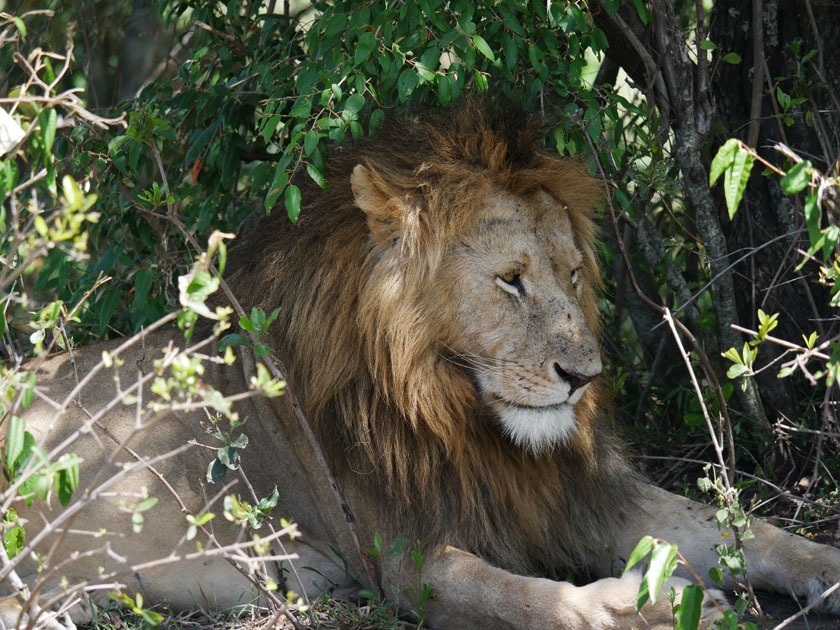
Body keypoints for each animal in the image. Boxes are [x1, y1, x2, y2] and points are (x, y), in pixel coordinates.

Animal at [1, 101, 840, 628]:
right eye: (511, 279)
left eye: (573, 275)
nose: (585, 379)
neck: (460, 416)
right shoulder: (402, 559)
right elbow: (521, 597)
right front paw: (640, 606)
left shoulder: (572, 496)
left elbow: (744, 529)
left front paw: (825, 567)